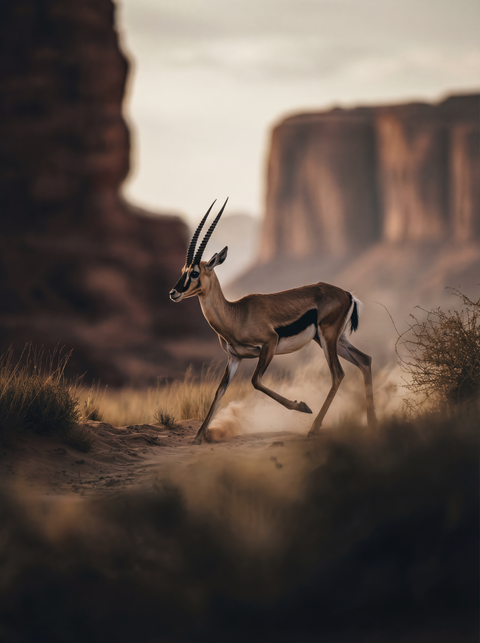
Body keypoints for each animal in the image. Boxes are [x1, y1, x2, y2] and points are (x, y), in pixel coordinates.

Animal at [170, 199, 377, 445]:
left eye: (194, 272)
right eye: (183, 270)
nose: (173, 293)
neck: (236, 314)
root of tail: (347, 294)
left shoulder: (269, 344)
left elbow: (255, 381)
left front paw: (302, 405)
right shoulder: (234, 357)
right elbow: (219, 391)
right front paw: (198, 437)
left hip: (327, 340)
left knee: (338, 374)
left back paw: (313, 429)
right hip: (335, 340)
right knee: (365, 361)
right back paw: (372, 424)